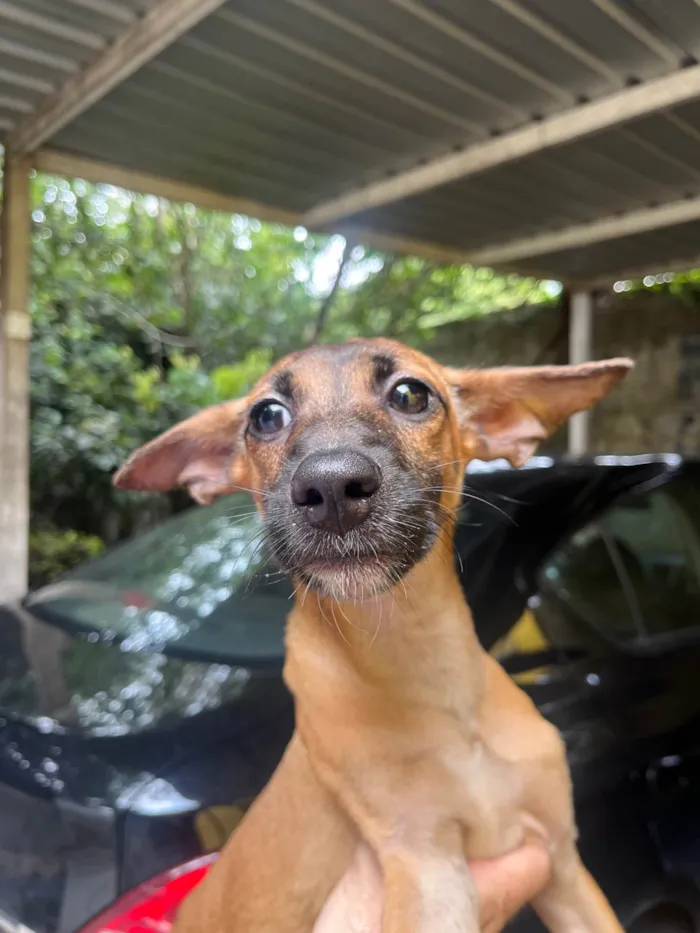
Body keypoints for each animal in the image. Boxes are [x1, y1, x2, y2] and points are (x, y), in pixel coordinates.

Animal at [112, 336, 632, 932]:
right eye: (266, 416)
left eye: (410, 394)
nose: (331, 485)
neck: (419, 664)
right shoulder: (426, 868)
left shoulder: (562, 863)